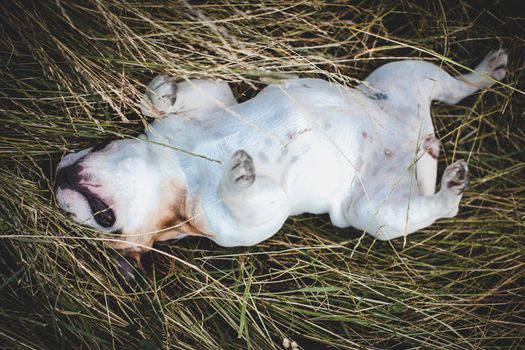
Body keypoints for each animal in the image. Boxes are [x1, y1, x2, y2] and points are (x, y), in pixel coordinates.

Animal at [55, 50, 506, 268]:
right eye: (103, 222)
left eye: (99, 146)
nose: (58, 174)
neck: (176, 170)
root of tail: (423, 142)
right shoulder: (244, 221)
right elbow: (252, 200)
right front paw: (236, 176)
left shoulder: (211, 103)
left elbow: (170, 98)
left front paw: (163, 91)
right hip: (374, 211)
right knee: (436, 207)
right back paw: (450, 187)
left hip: (404, 73)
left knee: (454, 88)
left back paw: (488, 71)